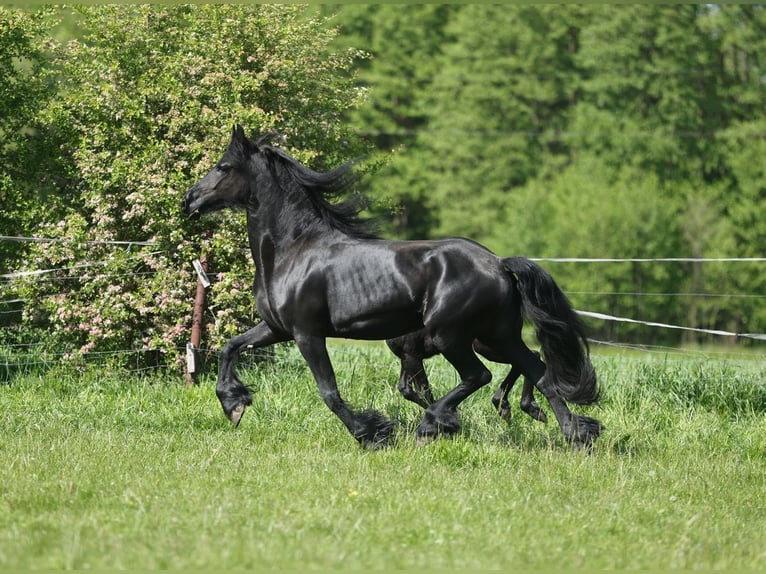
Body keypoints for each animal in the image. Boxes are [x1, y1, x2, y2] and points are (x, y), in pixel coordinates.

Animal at [183, 126, 604, 450]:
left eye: (224, 167)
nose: (189, 200)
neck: (294, 249)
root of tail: (498, 263)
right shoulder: (276, 328)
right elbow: (230, 347)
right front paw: (234, 405)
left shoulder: (307, 333)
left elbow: (329, 392)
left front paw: (372, 433)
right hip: (497, 335)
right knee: (538, 369)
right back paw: (575, 433)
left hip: (452, 335)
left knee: (479, 375)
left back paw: (435, 424)